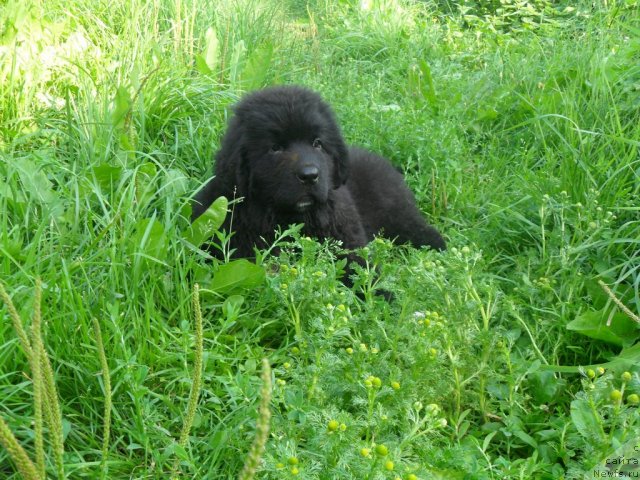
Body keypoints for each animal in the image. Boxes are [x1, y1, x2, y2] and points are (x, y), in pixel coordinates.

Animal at [192, 86, 444, 266]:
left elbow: (359, 269)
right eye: (275, 148)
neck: (294, 218)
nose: (310, 176)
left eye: (317, 144)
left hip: (397, 216)